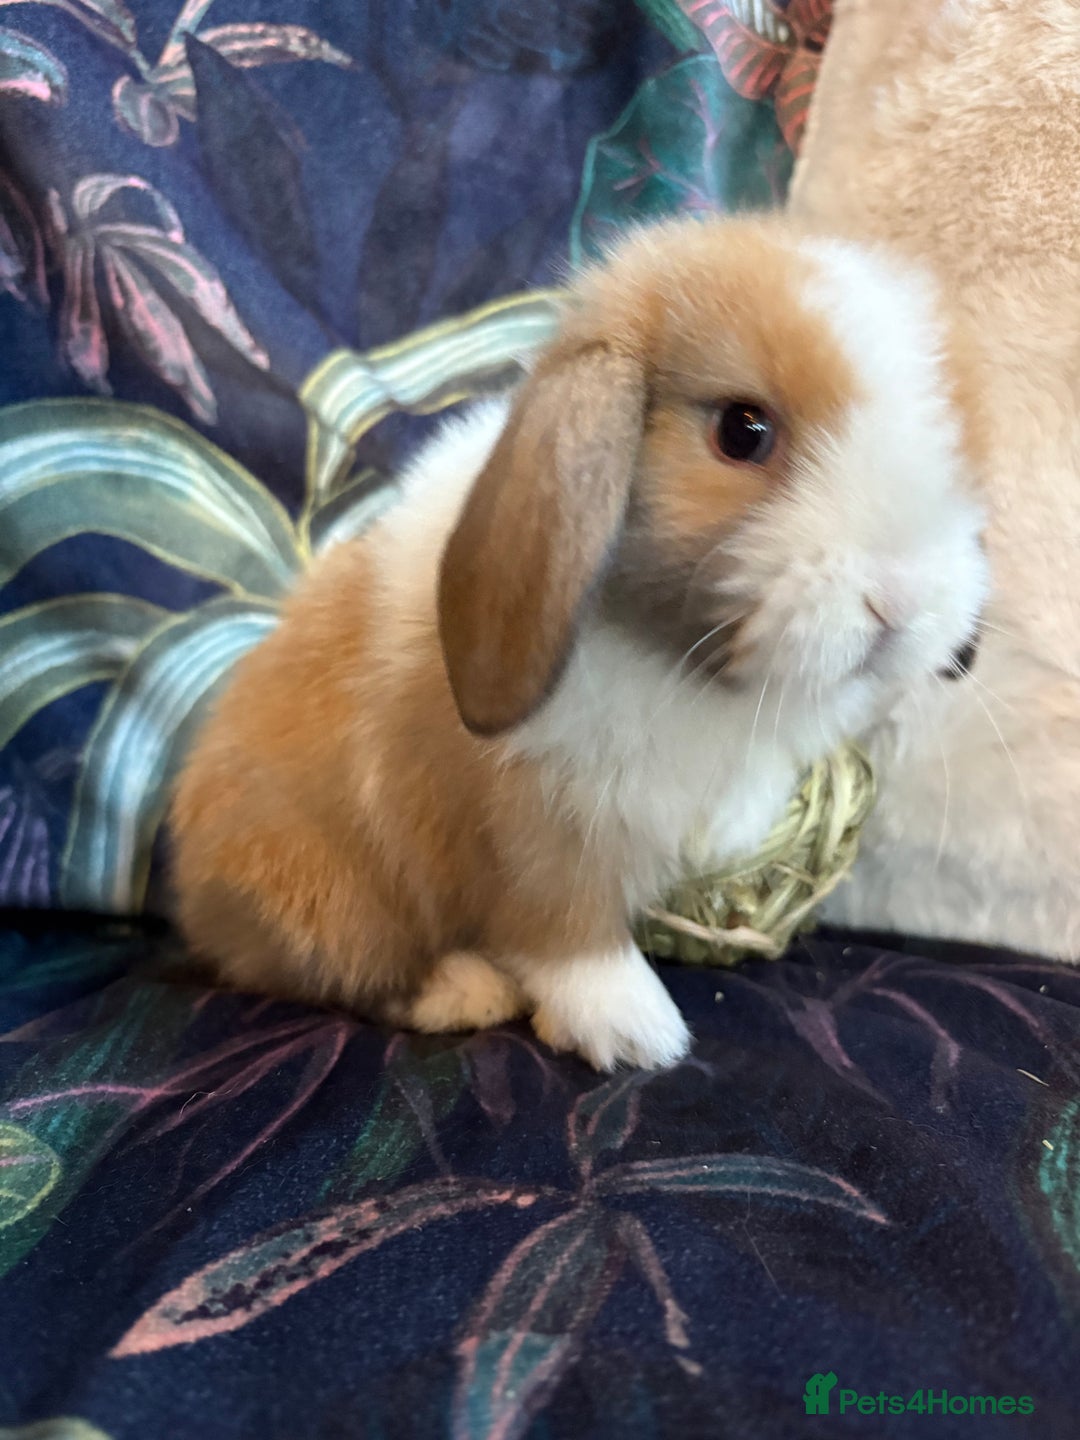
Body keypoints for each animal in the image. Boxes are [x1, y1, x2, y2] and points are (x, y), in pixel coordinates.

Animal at [171, 214, 988, 1072]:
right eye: (743, 431)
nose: (902, 599)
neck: (683, 666)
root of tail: (194, 890)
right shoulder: (537, 831)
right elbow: (569, 931)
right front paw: (636, 1033)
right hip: (322, 894)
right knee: (344, 971)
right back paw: (464, 992)